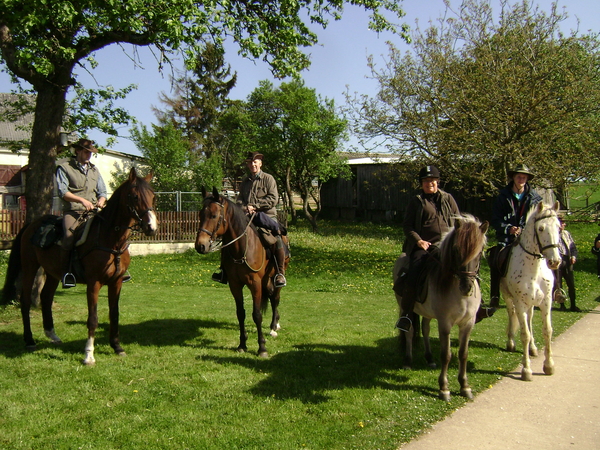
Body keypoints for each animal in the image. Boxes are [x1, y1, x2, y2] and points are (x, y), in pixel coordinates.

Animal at [1, 169, 157, 366]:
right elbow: (93, 319)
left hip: (53, 273)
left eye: (153, 197)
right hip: (30, 268)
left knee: (46, 297)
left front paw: (117, 347)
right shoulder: (94, 283)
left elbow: (114, 314)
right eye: (135, 196)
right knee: (26, 301)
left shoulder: (116, 282)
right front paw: (89, 355)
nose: (151, 227)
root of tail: (31, 225)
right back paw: (29, 340)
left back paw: (52, 334)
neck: (110, 239)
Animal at [195, 188, 288, 356]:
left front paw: (262, 347)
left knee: (275, 298)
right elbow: (241, 313)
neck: (242, 247)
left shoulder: (254, 283)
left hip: (275, 276)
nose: (200, 245)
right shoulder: (235, 284)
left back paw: (273, 326)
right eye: (200, 215)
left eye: (214, 215)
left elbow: (256, 315)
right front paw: (242, 344)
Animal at [394, 214, 488, 400]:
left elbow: (463, 354)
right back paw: (408, 361)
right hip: (404, 307)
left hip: (426, 313)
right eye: (457, 250)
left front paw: (465, 386)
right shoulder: (445, 323)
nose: (466, 286)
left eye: (480, 252)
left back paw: (430, 358)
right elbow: (446, 355)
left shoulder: (467, 323)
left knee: (425, 329)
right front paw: (444, 388)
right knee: (409, 332)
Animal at [500, 202, 560, 382]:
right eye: (540, 228)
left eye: (559, 227)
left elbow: (547, 331)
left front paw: (549, 365)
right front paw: (526, 370)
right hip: (509, 298)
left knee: (530, 319)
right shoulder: (520, 303)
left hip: (532, 303)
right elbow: (524, 334)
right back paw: (511, 342)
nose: (555, 261)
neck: (534, 270)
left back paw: (533, 348)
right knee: (512, 314)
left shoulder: (546, 302)